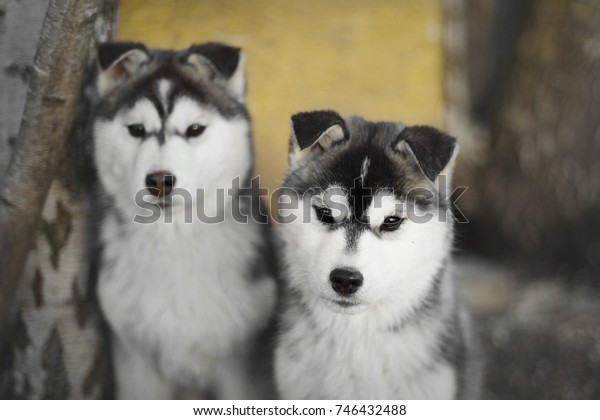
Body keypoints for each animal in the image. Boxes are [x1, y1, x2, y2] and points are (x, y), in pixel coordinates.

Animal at [86, 42, 276, 400]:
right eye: (136, 130)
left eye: (194, 130)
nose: (159, 180)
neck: (173, 239)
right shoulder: (135, 364)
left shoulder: (241, 364)